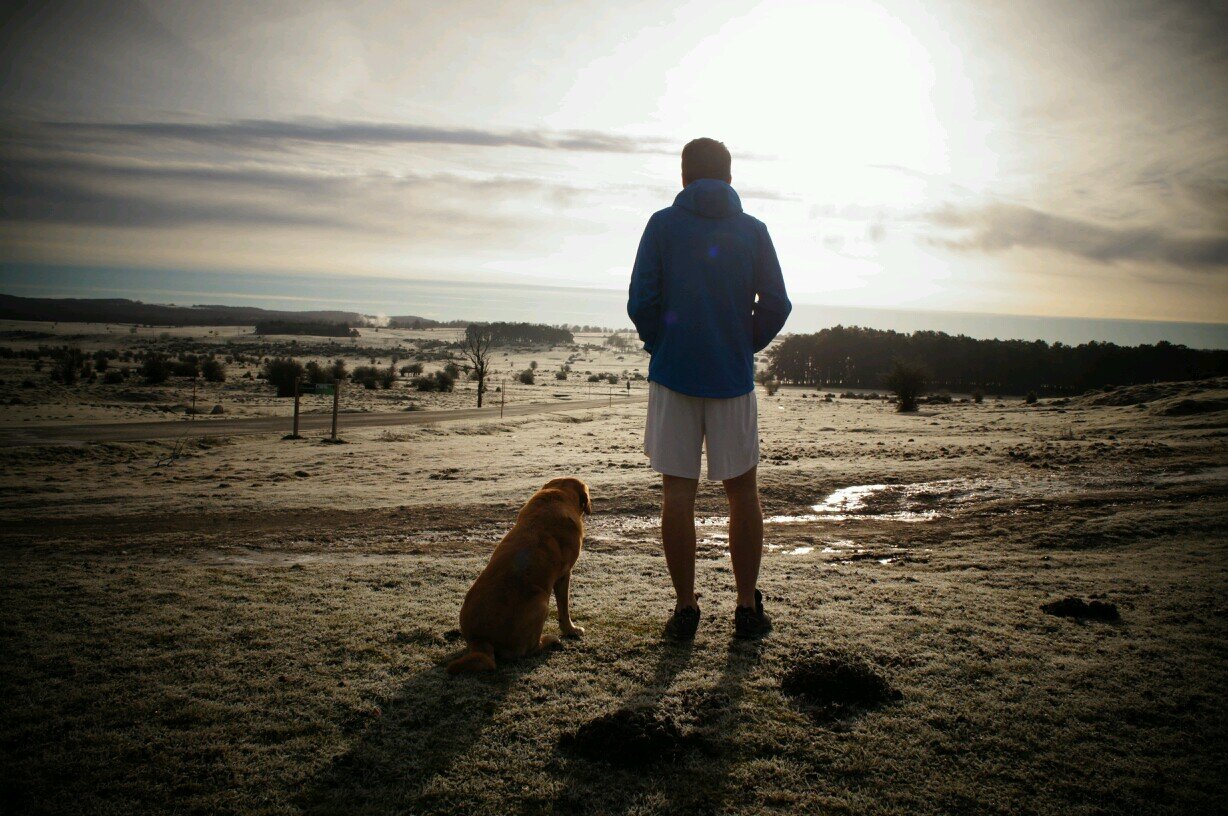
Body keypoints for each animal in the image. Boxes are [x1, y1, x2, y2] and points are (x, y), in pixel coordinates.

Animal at [449, 474, 591, 673]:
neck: (557, 494)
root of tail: (481, 640)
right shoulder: (564, 574)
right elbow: (564, 608)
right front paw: (571, 630)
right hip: (541, 603)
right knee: (528, 650)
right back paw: (550, 640)